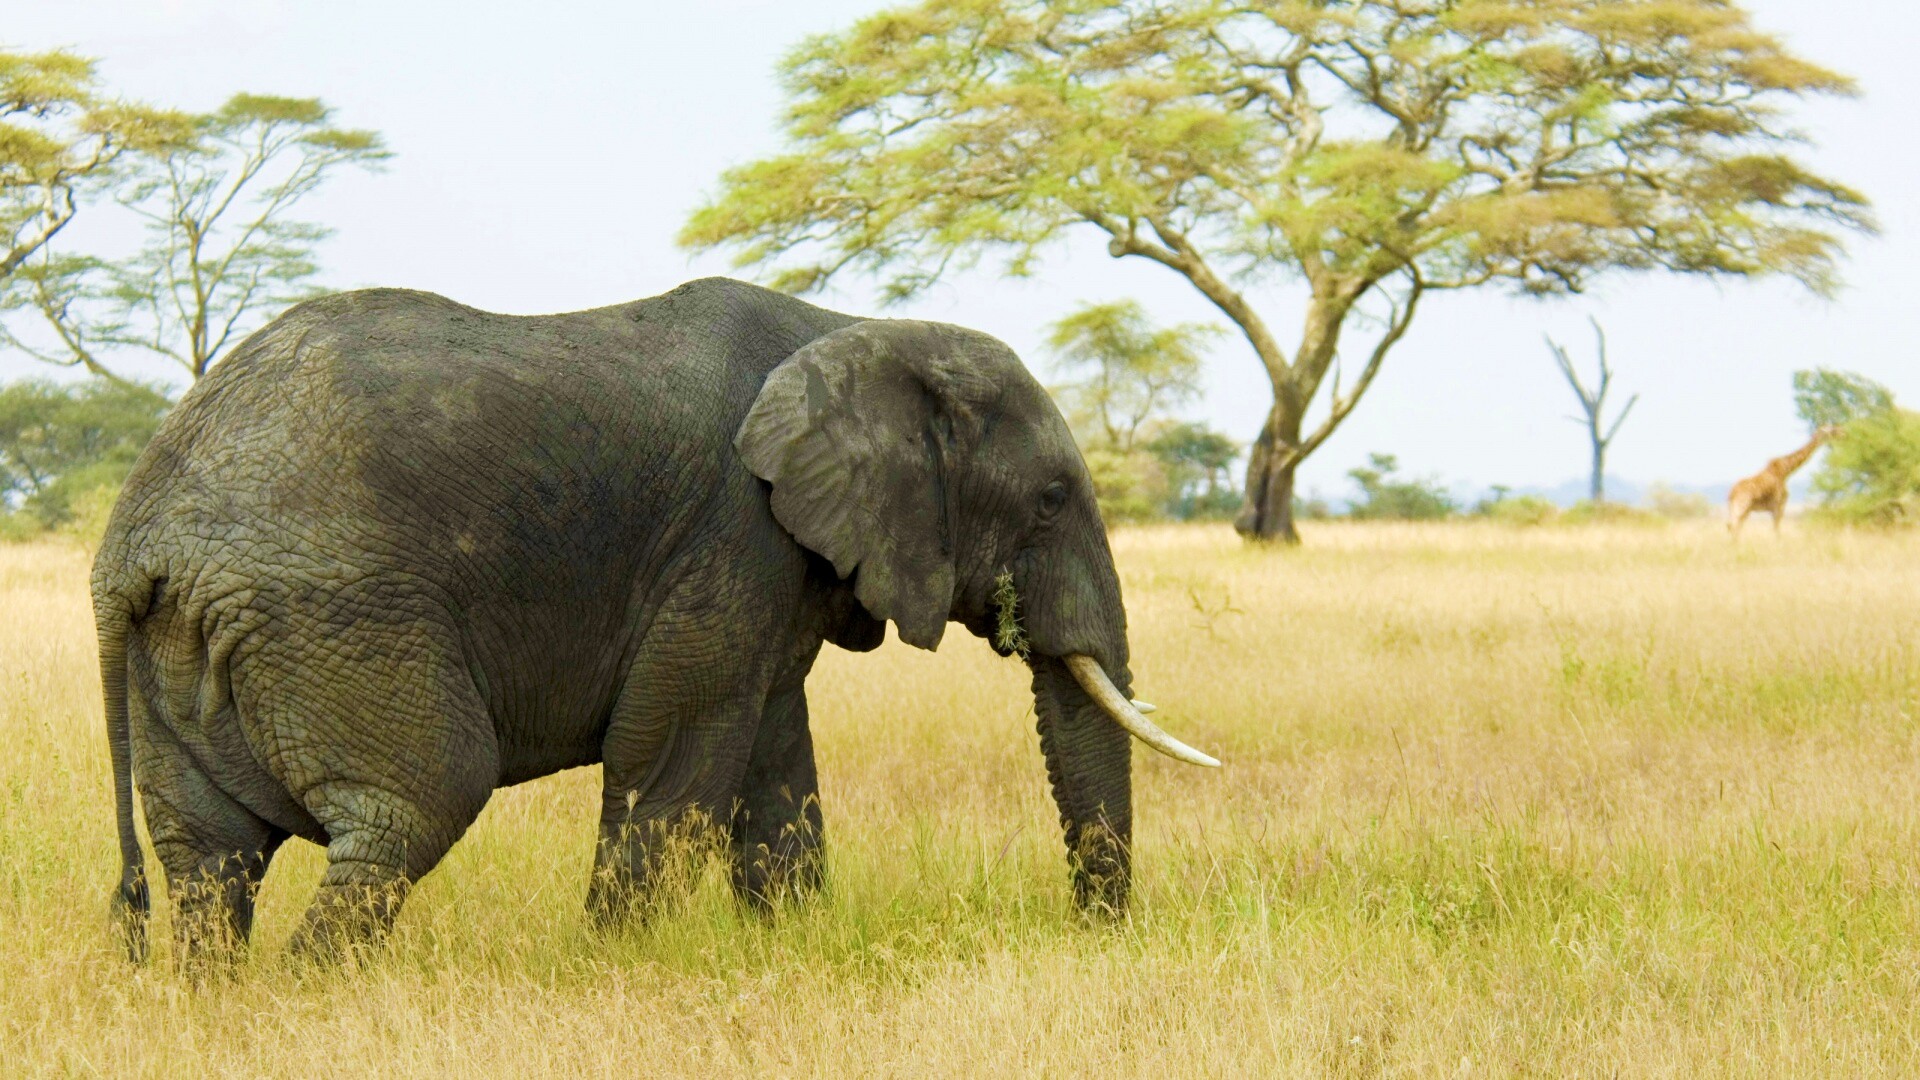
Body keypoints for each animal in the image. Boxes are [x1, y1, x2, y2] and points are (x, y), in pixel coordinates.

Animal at [93, 277, 1217, 965]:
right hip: (335, 614)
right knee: (413, 806)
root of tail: (134, 539)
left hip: (190, 644)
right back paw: (312, 999)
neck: (853, 328)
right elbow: (673, 752)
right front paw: (614, 964)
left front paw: (788, 948)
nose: (1095, 935)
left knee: (210, 858)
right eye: (1051, 500)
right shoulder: (732, 532)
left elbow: (772, 758)